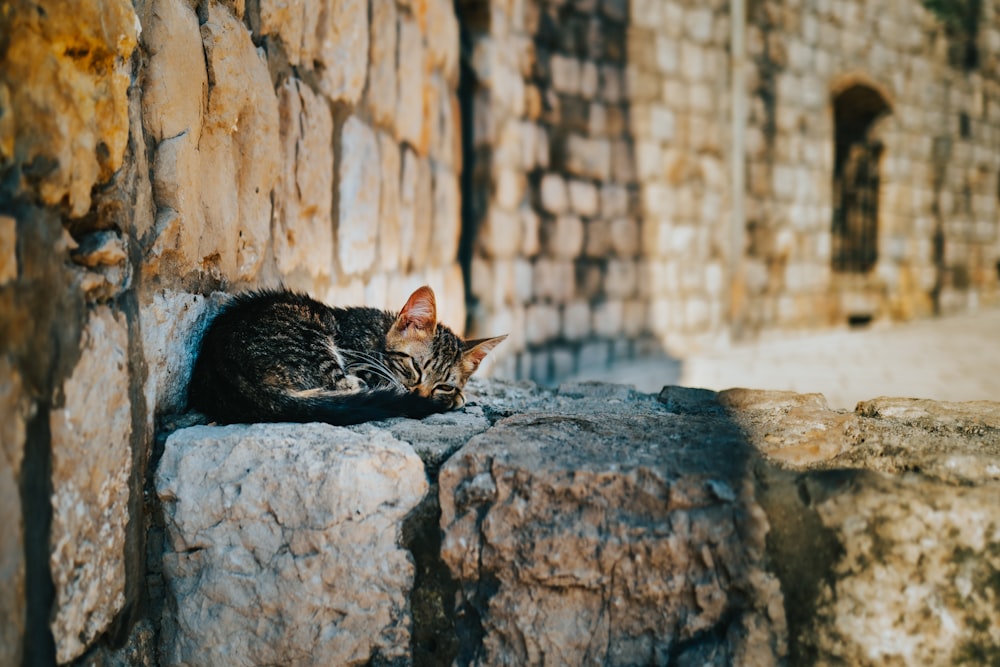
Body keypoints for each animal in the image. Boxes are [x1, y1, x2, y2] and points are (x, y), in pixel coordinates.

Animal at [186, 286, 508, 422]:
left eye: (443, 384)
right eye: (415, 367)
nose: (422, 395)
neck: (377, 333)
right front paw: (454, 400)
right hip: (313, 337)